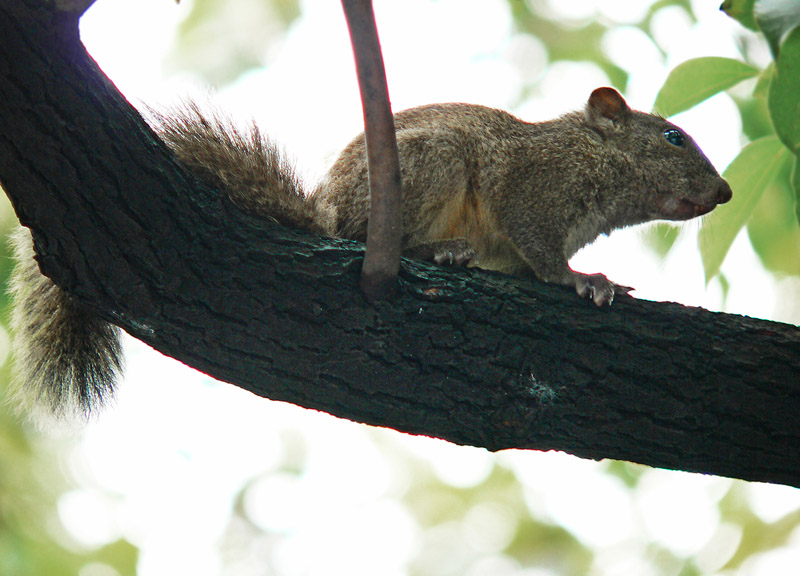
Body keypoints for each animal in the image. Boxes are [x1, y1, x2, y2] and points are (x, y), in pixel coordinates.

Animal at [6, 86, 732, 418]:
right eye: (672, 137)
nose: (725, 192)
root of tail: (326, 212)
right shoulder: (531, 188)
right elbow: (543, 254)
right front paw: (581, 280)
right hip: (432, 162)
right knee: (372, 238)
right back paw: (443, 250)